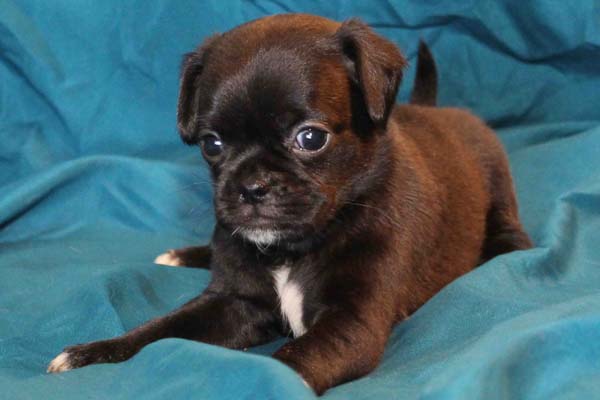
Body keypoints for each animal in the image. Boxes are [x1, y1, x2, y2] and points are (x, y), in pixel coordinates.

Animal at [47, 14, 532, 394]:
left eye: (310, 138)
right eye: (211, 144)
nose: (251, 186)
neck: (292, 249)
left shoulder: (352, 323)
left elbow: (291, 358)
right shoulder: (233, 303)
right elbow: (159, 330)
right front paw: (94, 353)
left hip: (497, 185)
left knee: (509, 229)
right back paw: (185, 254)